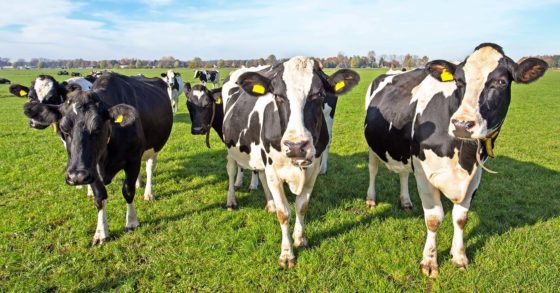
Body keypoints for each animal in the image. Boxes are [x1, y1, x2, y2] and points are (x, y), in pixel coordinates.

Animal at [23, 72, 173, 243]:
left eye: (98, 127)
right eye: (64, 129)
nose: (76, 177)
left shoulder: (133, 160)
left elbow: (128, 190)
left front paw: (132, 222)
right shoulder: (90, 168)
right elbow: (100, 197)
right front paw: (101, 232)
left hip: (154, 147)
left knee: (149, 168)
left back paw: (148, 193)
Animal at [222, 57, 358, 266]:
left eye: (319, 94)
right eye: (278, 96)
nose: (296, 146)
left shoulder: (312, 171)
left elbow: (301, 207)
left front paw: (300, 239)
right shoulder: (275, 172)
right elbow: (284, 213)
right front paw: (286, 253)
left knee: (261, 176)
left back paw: (270, 203)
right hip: (231, 148)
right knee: (231, 170)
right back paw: (231, 201)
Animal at [364, 42, 548, 276]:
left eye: (501, 82)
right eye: (460, 81)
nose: (462, 124)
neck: (463, 154)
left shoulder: (475, 176)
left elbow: (461, 218)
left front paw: (459, 256)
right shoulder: (424, 174)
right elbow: (434, 219)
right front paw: (429, 262)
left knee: (404, 173)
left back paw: (405, 201)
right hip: (372, 146)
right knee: (373, 169)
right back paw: (371, 199)